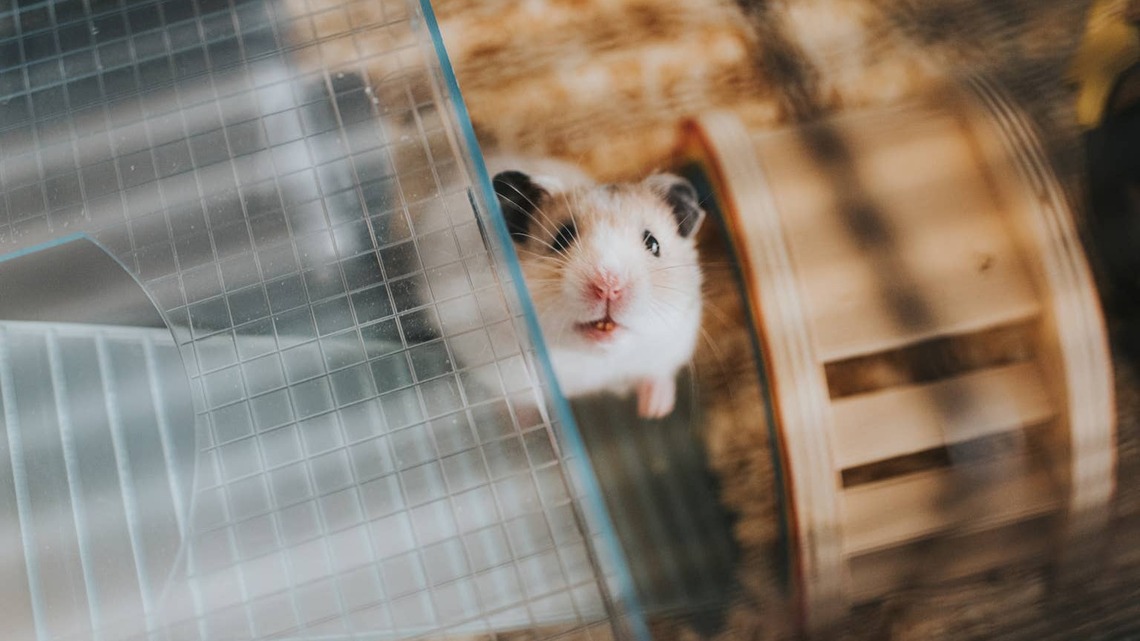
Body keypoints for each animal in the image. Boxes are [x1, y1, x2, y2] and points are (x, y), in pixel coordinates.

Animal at [486, 156, 705, 418]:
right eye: (561, 239)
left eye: (653, 244)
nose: (608, 286)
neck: (599, 355)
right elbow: (524, 401)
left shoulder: (674, 341)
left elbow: (658, 373)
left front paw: (655, 411)